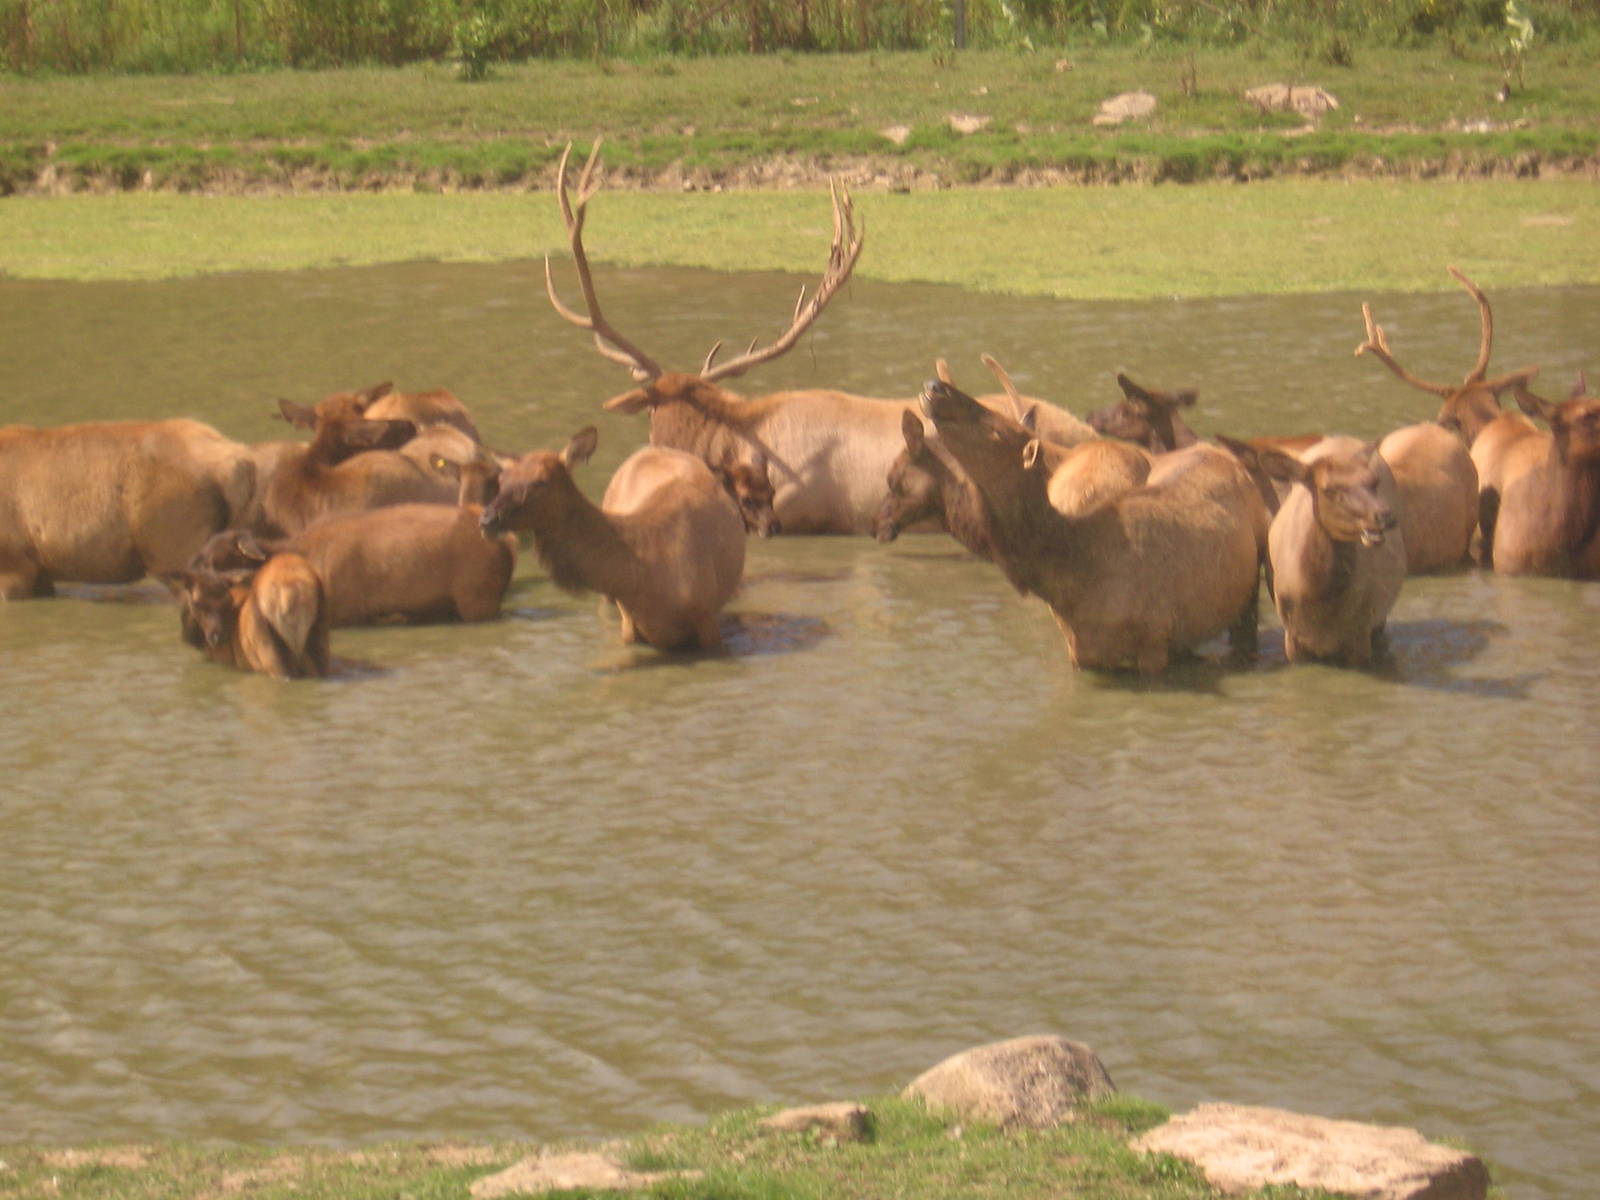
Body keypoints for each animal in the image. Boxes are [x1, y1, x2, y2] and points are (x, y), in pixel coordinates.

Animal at [164, 552, 330, 679]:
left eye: (227, 601)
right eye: (197, 603)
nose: (217, 637)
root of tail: (290, 592)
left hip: (269, 652)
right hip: (318, 637)